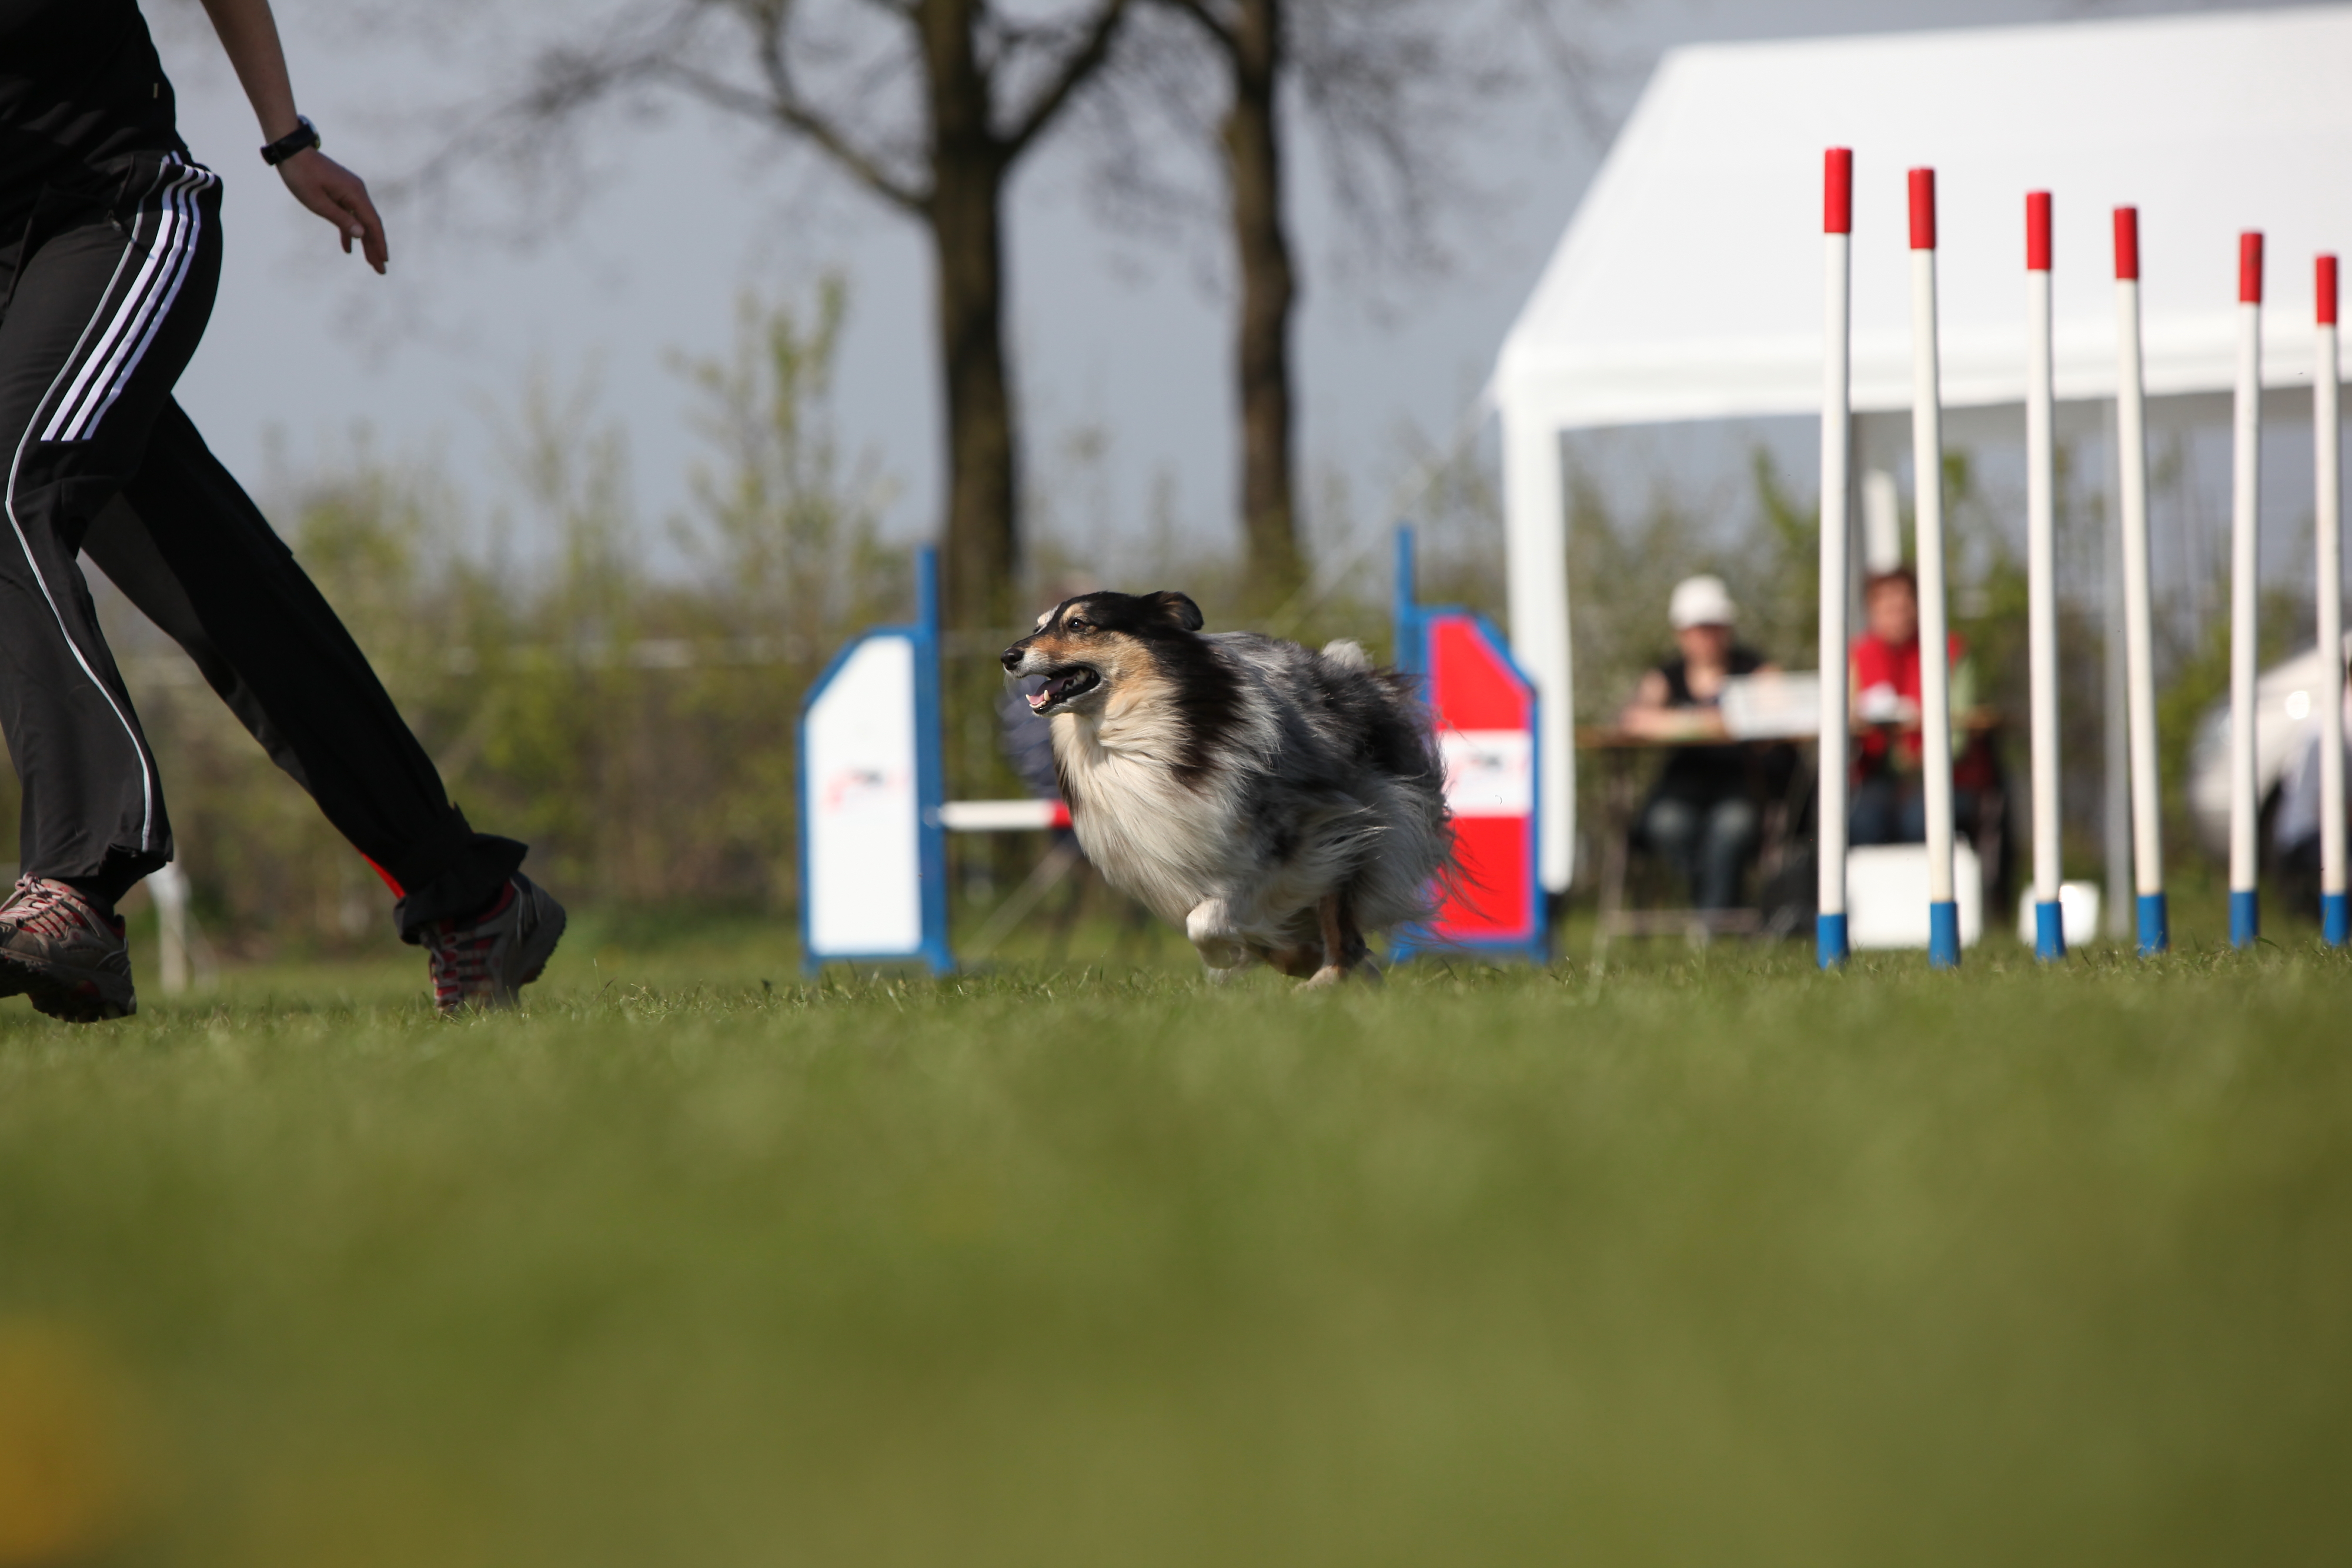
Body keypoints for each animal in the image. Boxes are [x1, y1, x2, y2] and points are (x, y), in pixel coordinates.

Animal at [997, 587, 1449, 982]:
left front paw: (1264, 956)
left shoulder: (1297, 841)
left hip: (1359, 817)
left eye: (1079, 624)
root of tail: (1349, 673)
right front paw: (1286, 954)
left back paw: (1328, 977)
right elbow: (1217, 921)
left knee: (1339, 919)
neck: (1128, 734)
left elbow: (1206, 922)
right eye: (1039, 625)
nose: (1008, 656)